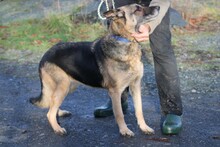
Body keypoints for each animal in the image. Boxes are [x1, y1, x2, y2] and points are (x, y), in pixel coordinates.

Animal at [29, 3, 160, 137]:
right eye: (138, 9)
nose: (158, 7)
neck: (124, 39)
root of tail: (45, 55)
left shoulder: (135, 86)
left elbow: (139, 110)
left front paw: (144, 127)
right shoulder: (115, 92)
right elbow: (119, 114)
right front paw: (124, 130)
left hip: (69, 86)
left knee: (52, 102)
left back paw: (59, 114)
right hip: (63, 85)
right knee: (49, 112)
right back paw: (57, 128)